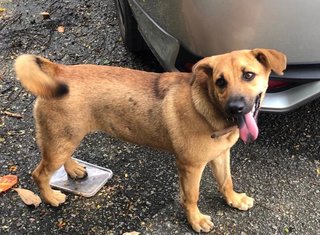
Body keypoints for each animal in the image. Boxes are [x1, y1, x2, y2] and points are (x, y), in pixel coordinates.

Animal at [13, 48, 286, 232]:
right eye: (220, 82)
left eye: (248, 75)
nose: (236, 107)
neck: (208, 105)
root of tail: (58, 70)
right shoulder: (190, 166)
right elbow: (192, 196)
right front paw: (195, 220)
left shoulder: (220, 155)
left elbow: (226, 181)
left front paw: (234, 199)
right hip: (60, 140)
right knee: (40, 174)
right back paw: (51, 198)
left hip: (67, 137)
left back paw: (74, 170)